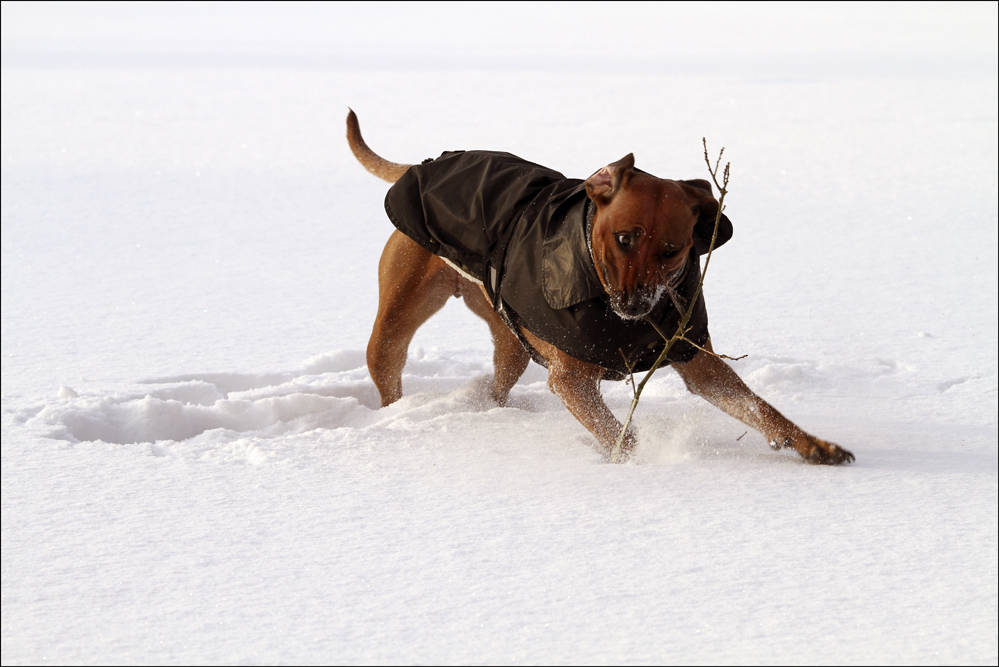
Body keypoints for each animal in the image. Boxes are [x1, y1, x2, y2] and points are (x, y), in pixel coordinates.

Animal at [348, 111, 856, 464]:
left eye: (672, 250)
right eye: (624, 238)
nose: (634, 304)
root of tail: (424, 164)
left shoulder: (697, 360)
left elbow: (760, 408)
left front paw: (814, 445)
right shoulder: (571, 379)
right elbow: (621, 435)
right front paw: (628, 462)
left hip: (508, 334)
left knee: (502, 374)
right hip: (396, 318)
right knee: (388, 362)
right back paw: (396, 416)